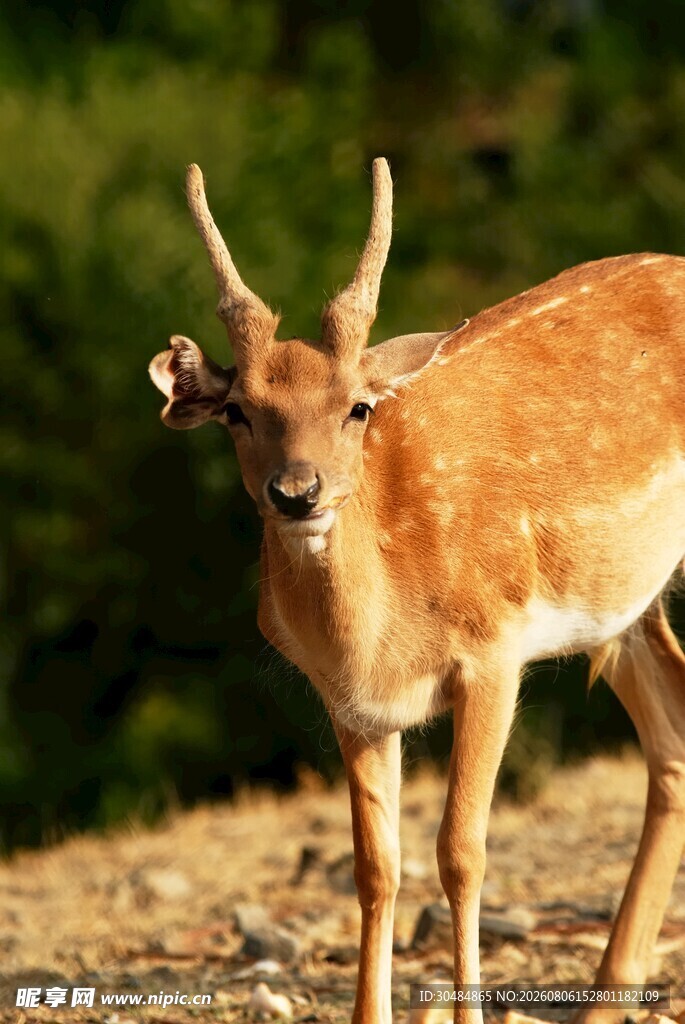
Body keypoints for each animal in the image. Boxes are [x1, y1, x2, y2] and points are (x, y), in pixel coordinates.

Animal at [149, 158, 685, 1024]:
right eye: (236, 411)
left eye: (357, 407)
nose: (296, 492)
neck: (381, 640)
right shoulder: (351, 705)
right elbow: (375, 865)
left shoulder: (495, 650)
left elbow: (461, 850)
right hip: (623, 604)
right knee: (672, 728)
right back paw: (605, 995)